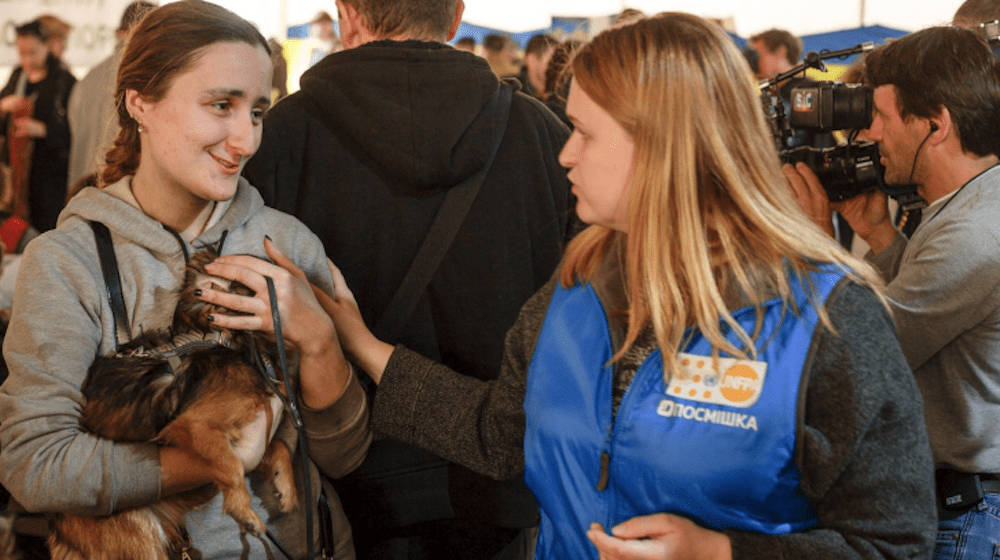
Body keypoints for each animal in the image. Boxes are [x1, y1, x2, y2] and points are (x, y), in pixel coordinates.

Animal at [47, 250, 296, 560]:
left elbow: (278, 446)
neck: (228, 341)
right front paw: (243, 510)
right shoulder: (196, 425)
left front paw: (286, 487)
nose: (290, 273)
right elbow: (231, 465)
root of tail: (59, 527)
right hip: (141, 537)